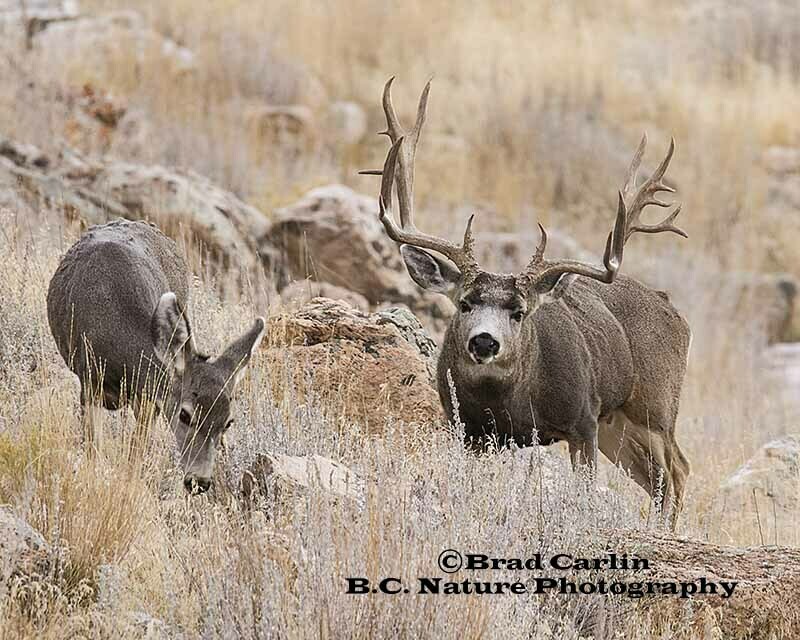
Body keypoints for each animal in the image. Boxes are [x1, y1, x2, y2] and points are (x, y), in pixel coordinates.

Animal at [47, 219, 265, 493]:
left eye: (228, 421)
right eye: (185, 414)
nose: (199, 482)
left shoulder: (149, 398)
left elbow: (136, 453)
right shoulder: (89, 378)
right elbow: (93, 448)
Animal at [362, 78, 692, 524]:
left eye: (518, 312)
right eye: (464, 304)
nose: (485, 341)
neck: (510, 403)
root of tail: (674, 312)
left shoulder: (583, 420)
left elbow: (584, 492)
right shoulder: (469, 431)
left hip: (654, 406)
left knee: (676, 469)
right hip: (618, 425)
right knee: (656, 476)